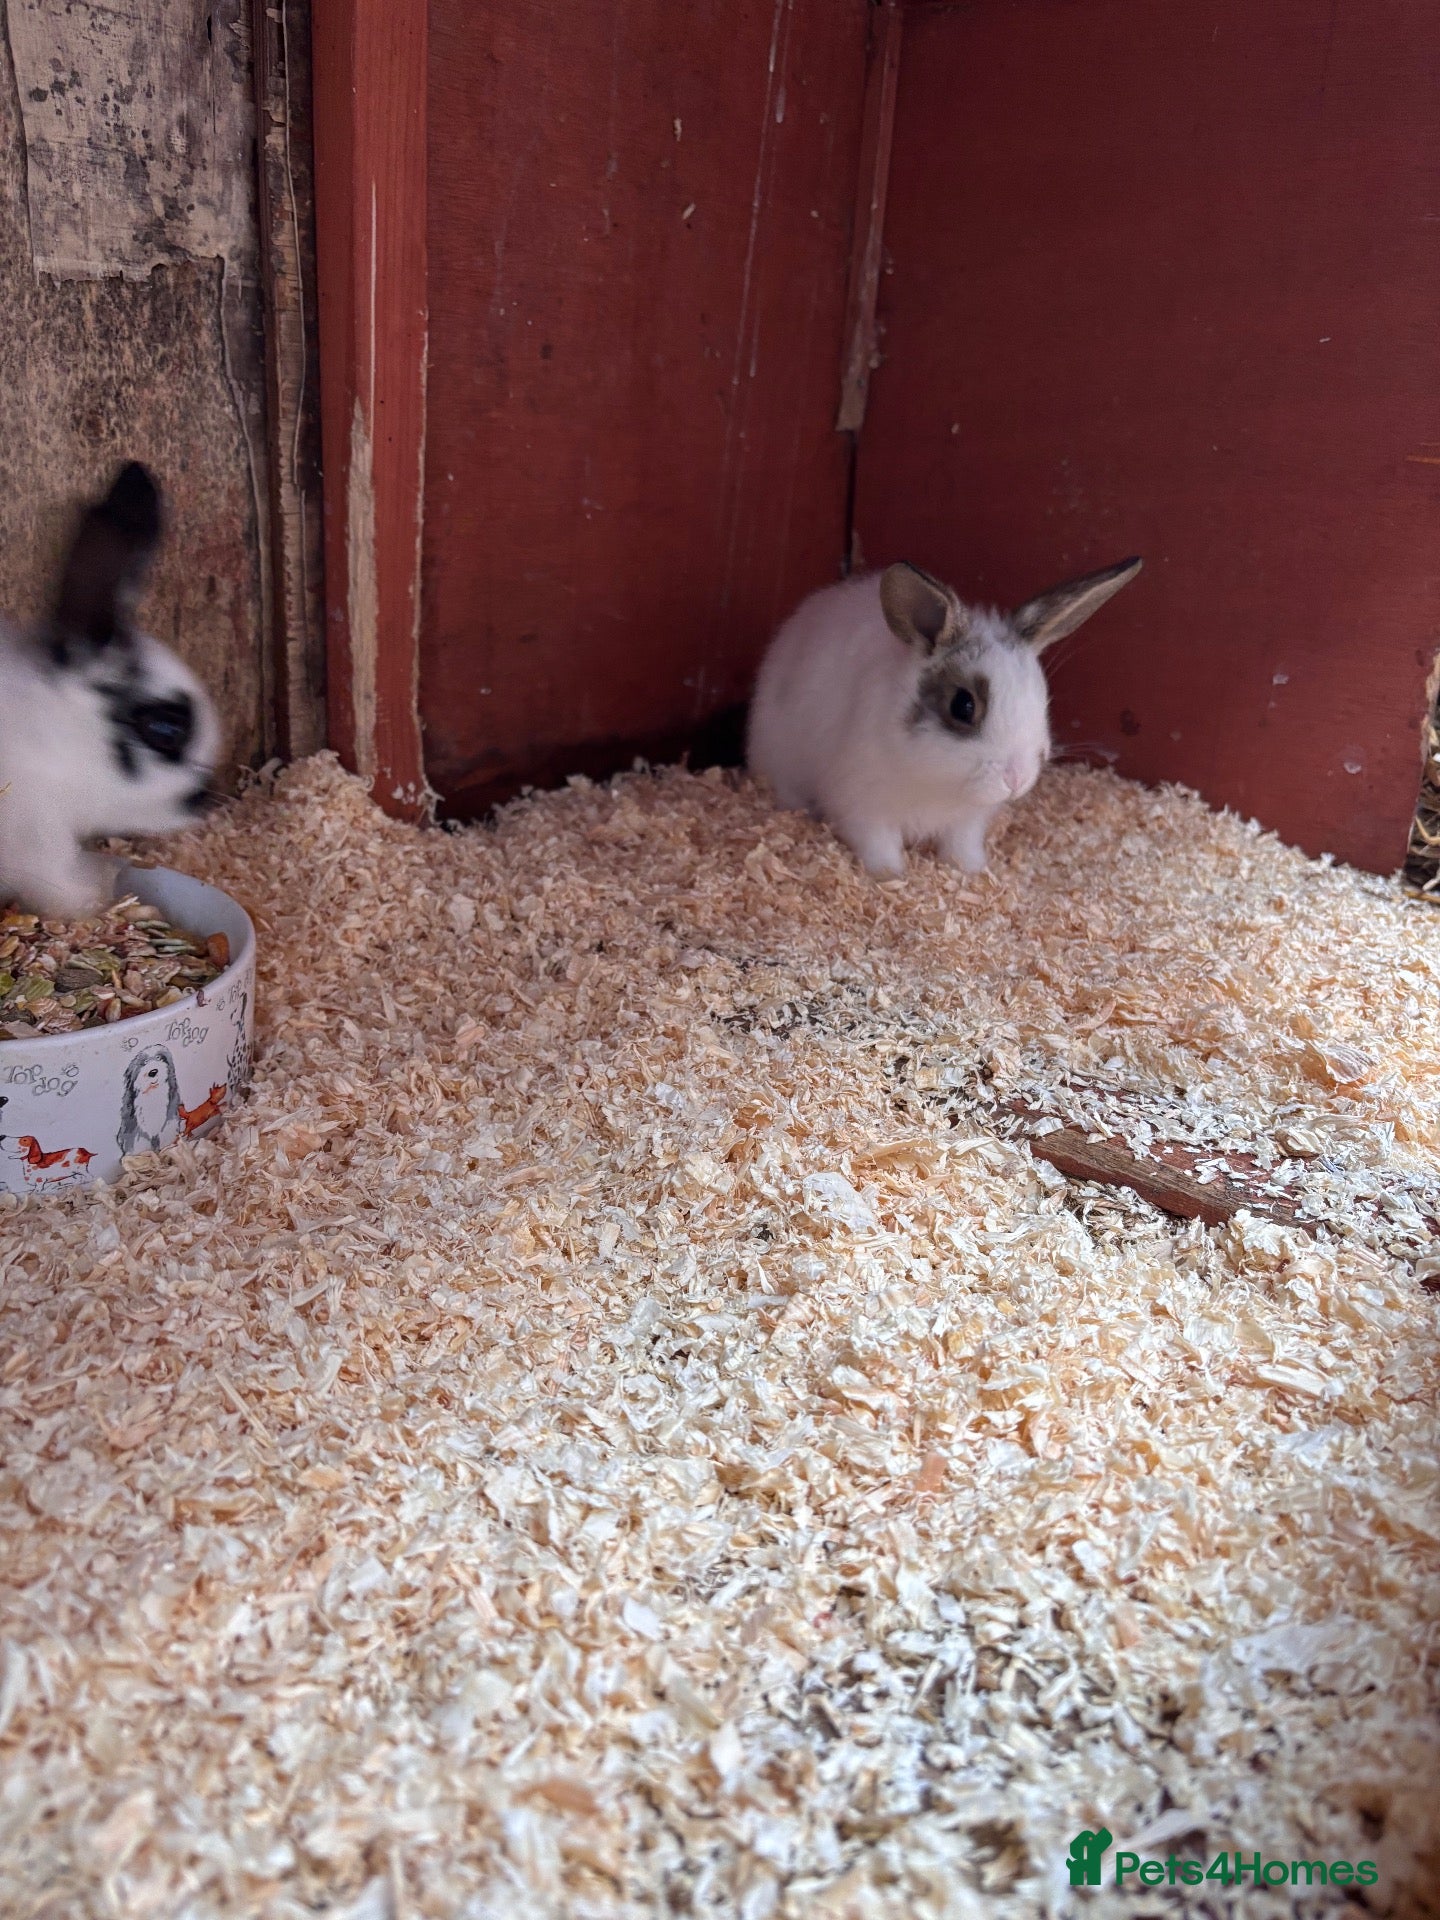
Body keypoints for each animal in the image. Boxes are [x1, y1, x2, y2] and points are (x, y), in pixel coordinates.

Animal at [0, 461, 222, 918]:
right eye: (166, 729)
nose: (204, 800)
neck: (57, 735)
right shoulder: (38, 837)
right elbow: (57, 885)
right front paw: (97, 892)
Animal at [746, 554, 1142, 878]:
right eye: (963, 706)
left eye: (1042, 700)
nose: (1017, 779)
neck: (938, 786)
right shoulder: (862, 806)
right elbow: (878, 844)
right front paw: (891, 876)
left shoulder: (967, 821)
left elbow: (961, 846)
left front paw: (973, 870)